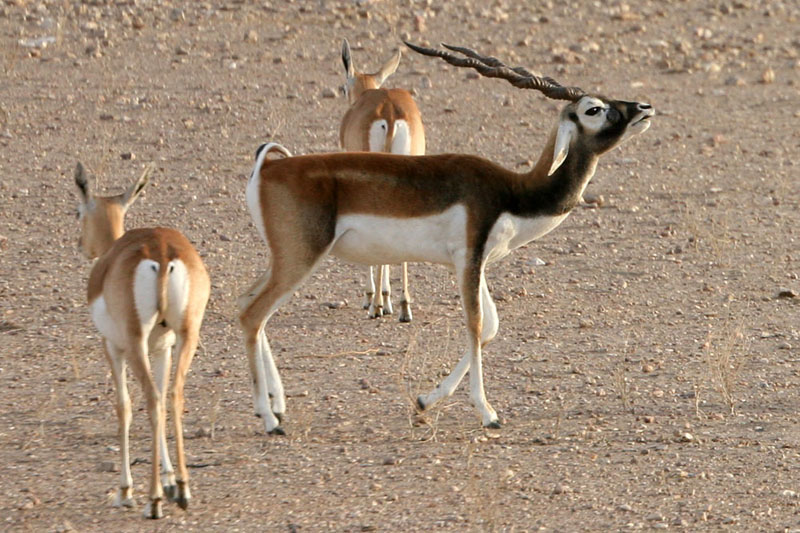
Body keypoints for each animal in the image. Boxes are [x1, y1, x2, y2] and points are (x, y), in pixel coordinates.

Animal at [74, 163, 209, 520]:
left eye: (78, 211)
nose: (82, 245)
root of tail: (162, 253)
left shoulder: (113, 347)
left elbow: (123, 408)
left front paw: (125, 491)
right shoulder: (162, 348)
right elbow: (162, 399)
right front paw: (170, 479)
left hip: (134, 344)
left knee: (150, 399)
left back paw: (153, 501)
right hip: (188, 336)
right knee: (172, 396)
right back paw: (183, 490)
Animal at [340, 38, 428, 320]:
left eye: (343, 87)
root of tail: (390, 112)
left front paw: (372, 298)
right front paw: (388, 299)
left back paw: (376, 305)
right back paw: (404, 307)